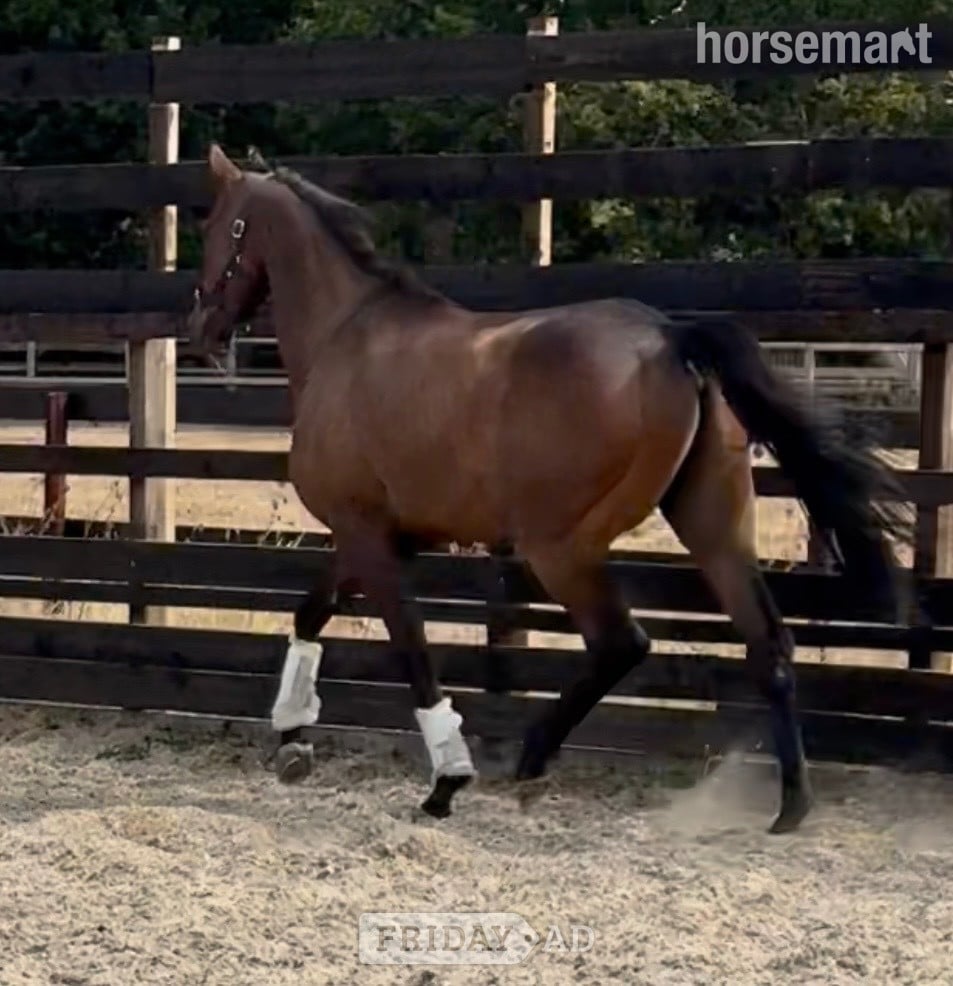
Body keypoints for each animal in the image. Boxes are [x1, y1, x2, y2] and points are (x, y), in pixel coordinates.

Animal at [186, 143, 910, 834]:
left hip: (560, 548)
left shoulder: (368, 536)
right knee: (769, 646)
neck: (346, 336)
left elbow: (410, 648)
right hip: (713, 526)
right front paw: (291, 738)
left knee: (622, 642)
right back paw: (791, 806)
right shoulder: (375, 534)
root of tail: (669, 337)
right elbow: (310, 613)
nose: (202, 332)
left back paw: (532, 758)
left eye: (216, 227)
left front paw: (446, 780)